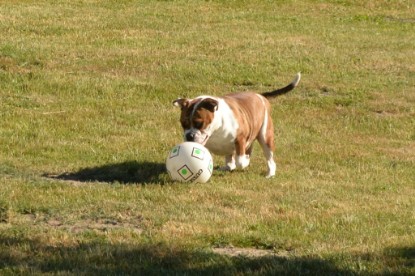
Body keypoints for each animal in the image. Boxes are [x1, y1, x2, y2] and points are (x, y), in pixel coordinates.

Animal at [173, 72, 302, 178]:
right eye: (183, 124)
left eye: (199, 123)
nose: (189, 136)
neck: (216, 130)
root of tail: (260, 96)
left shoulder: (240, 139)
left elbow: (240, 161)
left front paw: (245, 162)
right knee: (231, 160)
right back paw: (228, 166)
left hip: (266, 136)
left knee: (268, 157)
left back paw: (270, 173)